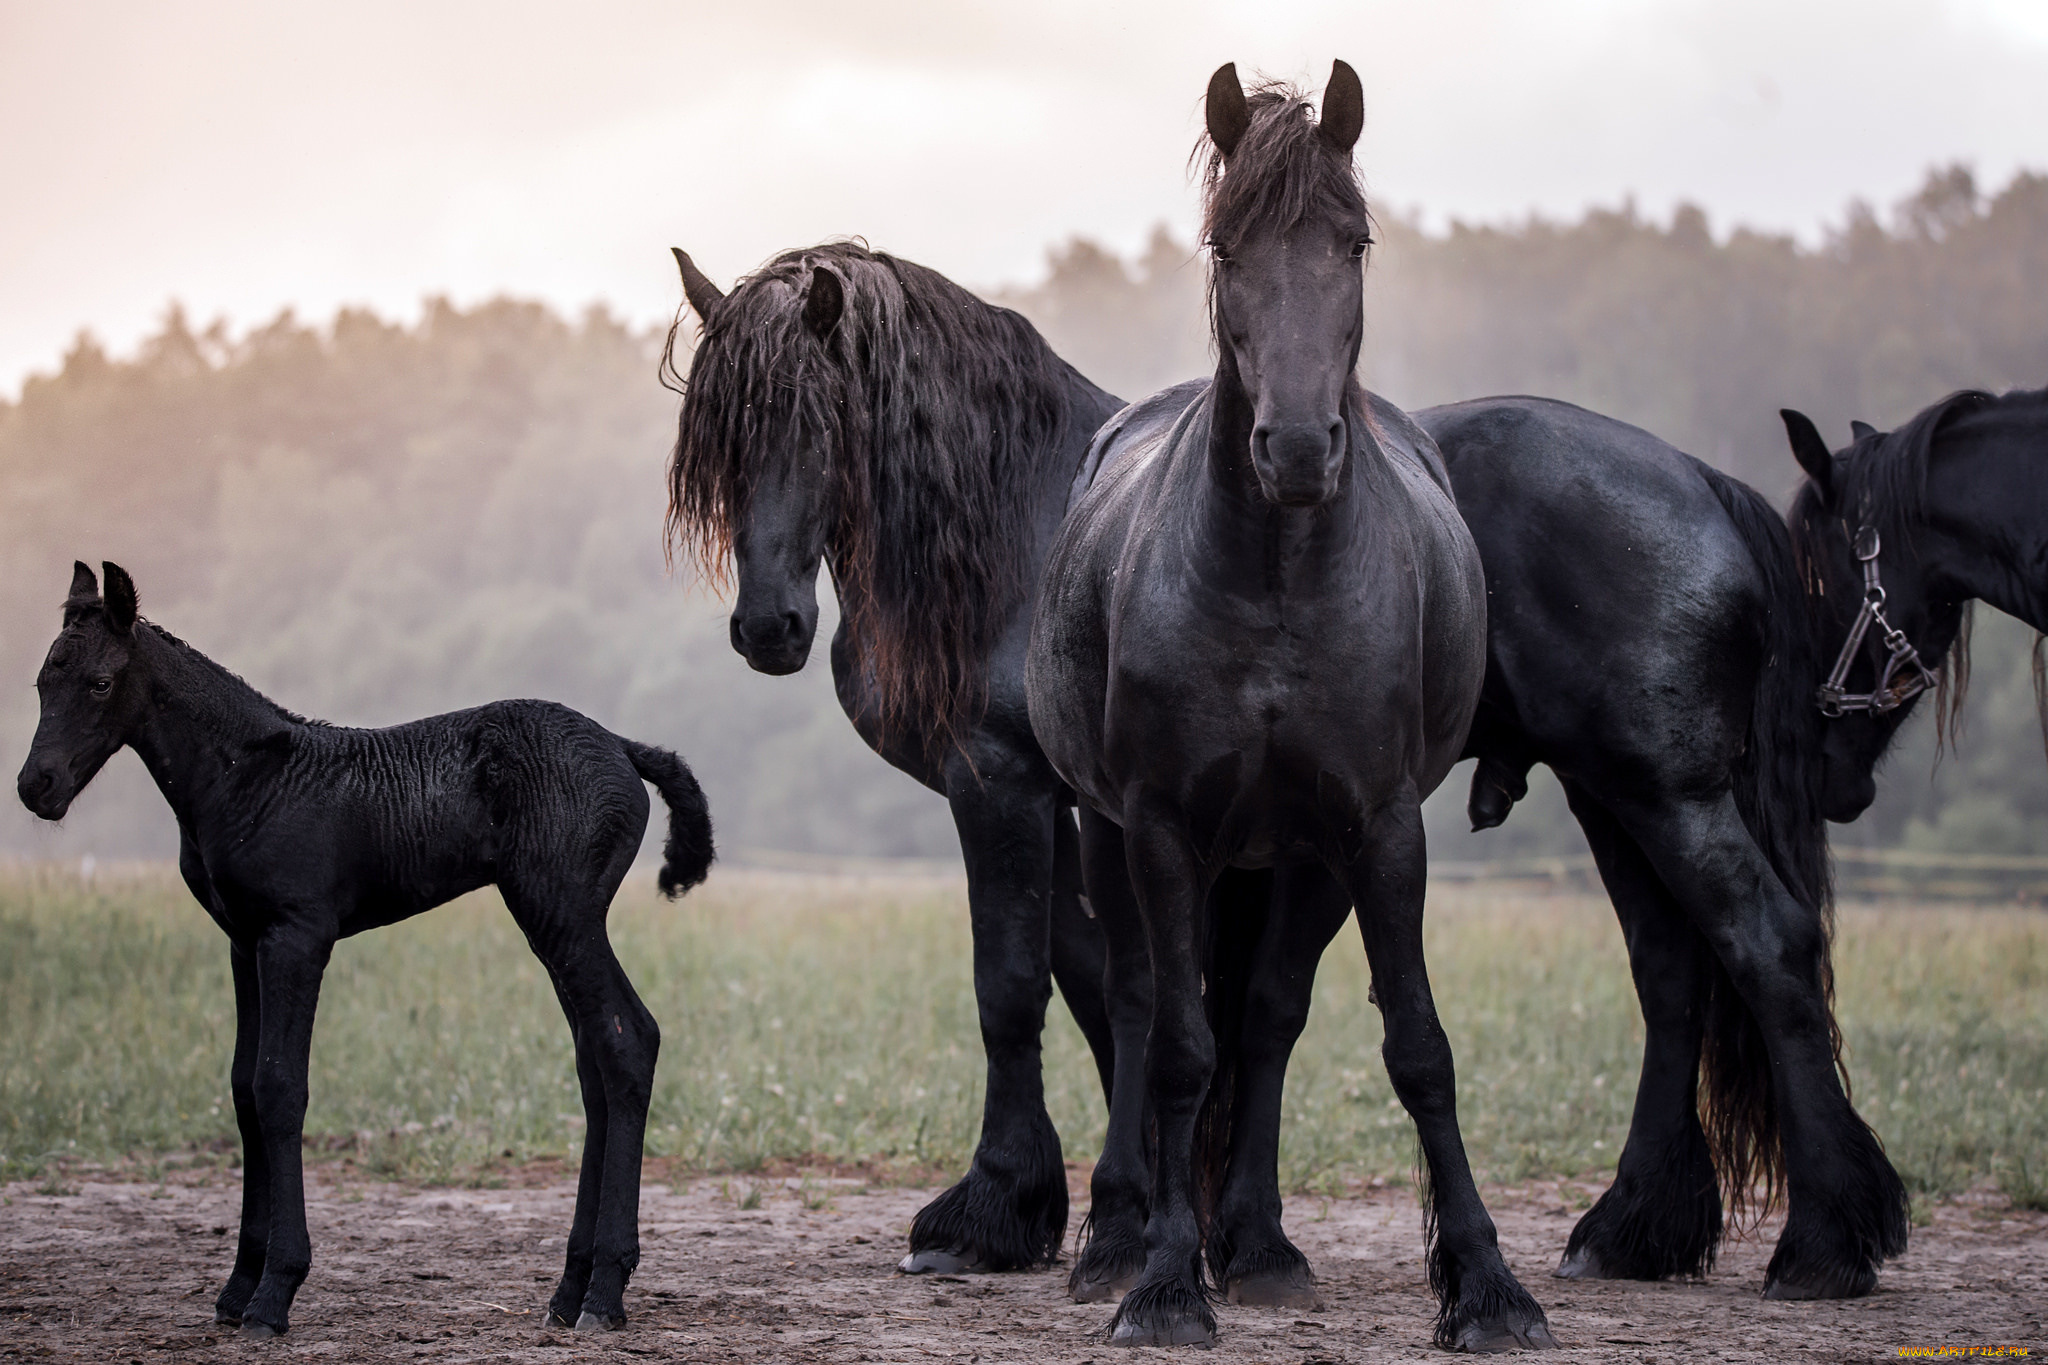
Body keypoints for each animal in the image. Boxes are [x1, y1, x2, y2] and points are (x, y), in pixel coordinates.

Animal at [15, 562, 714, 1338]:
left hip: (563, 914)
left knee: (628, 1041)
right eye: (43, 680)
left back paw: (604, 1292)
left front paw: (274, 1293)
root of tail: (623, 745)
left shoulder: (296, 937)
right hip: (558, 922)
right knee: (597, 1062)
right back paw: (569, 1289)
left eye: (101, 683)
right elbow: (242, 1089)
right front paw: (236, 1287)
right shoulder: (243, 943)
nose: (36, 786)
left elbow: (279, 1087)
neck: (249, 778)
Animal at [663, 242, 1127, 1273]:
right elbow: (1098, 980)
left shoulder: (1000, 782)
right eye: (724, 444)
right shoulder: (1060, 800)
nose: (770, 628)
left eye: (820, 423)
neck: (1030, 525)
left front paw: (989, 1209)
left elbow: (1011, 987)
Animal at [1026, 64, 1554, 1351]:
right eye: (1226, 248)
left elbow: (1414, 1047)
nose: (1301, 448)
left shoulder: (1378, 830)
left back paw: (1260, 1247)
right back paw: (1120, 1242)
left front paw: (1486, 1285)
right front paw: (1165, 1284)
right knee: (1139, 1007)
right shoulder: (1161, 827)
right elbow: (1175, 1049)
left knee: (1264, 1021)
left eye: (1351, 242)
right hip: (1113, 836)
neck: (1273, 575)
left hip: (1304, 860)